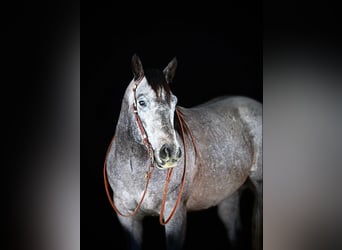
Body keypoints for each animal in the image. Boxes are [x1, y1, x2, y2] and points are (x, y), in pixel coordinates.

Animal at [103, 54, 262, 250]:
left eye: (174, 102)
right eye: (141, 102)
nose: (170, 152)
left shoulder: (175, 214)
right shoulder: (127, 218)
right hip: (229, 194)